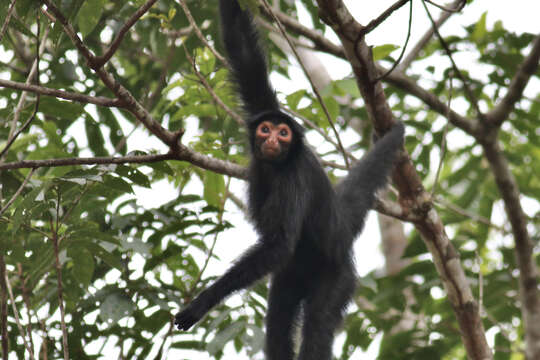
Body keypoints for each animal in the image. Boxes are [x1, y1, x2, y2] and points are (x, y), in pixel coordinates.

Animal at [175, 1, 402, 358]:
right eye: (266, 129)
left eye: (283, 133)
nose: (272, 139)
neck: (278, 165)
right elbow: (243, 50)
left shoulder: (294, 180)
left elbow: (279, 244)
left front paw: (201, 303)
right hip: (290, 278)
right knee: (279, 322)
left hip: (337, 276)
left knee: (317, 325)